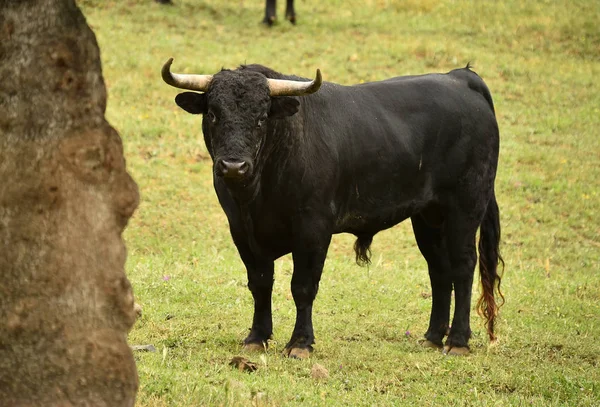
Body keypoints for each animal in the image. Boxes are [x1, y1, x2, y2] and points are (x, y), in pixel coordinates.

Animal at [162, 59, 504, 358]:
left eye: (261, 117)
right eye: (213, 114)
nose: (234, 166)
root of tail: (460, 77)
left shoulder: (313, 229)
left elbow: (302, 286)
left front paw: (300, 344)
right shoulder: (243, 231)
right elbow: (259, 284)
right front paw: (256, 338)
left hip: (466, 206)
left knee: (463, 266)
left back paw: (457, 341)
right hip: (428, 216)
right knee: (439, 269)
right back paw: (433, 337)